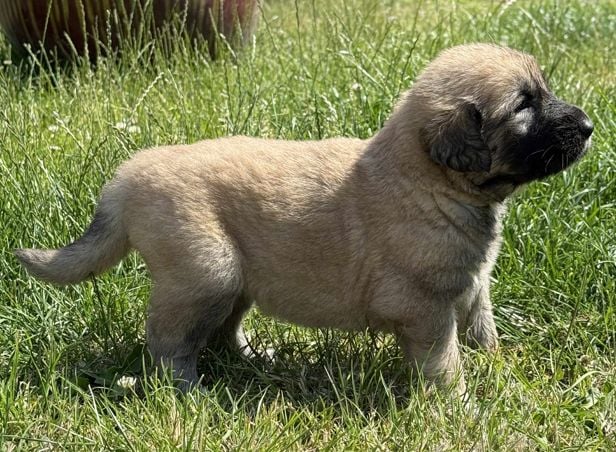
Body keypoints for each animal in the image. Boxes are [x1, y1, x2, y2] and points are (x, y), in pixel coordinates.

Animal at [15, 44, 593, 394]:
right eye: (523, 106)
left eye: (542, 92)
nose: (589, 126)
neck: (429, 180)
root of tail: (127, 177)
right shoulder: (425, 307)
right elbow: (444, 360)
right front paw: (458, 404)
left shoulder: (471, 287)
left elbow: (481, 331)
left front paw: (498, 372)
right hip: (206, 271)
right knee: (167, 339)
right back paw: (186, 389)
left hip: (235, 278)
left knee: (223, 330)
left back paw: (256, 359)